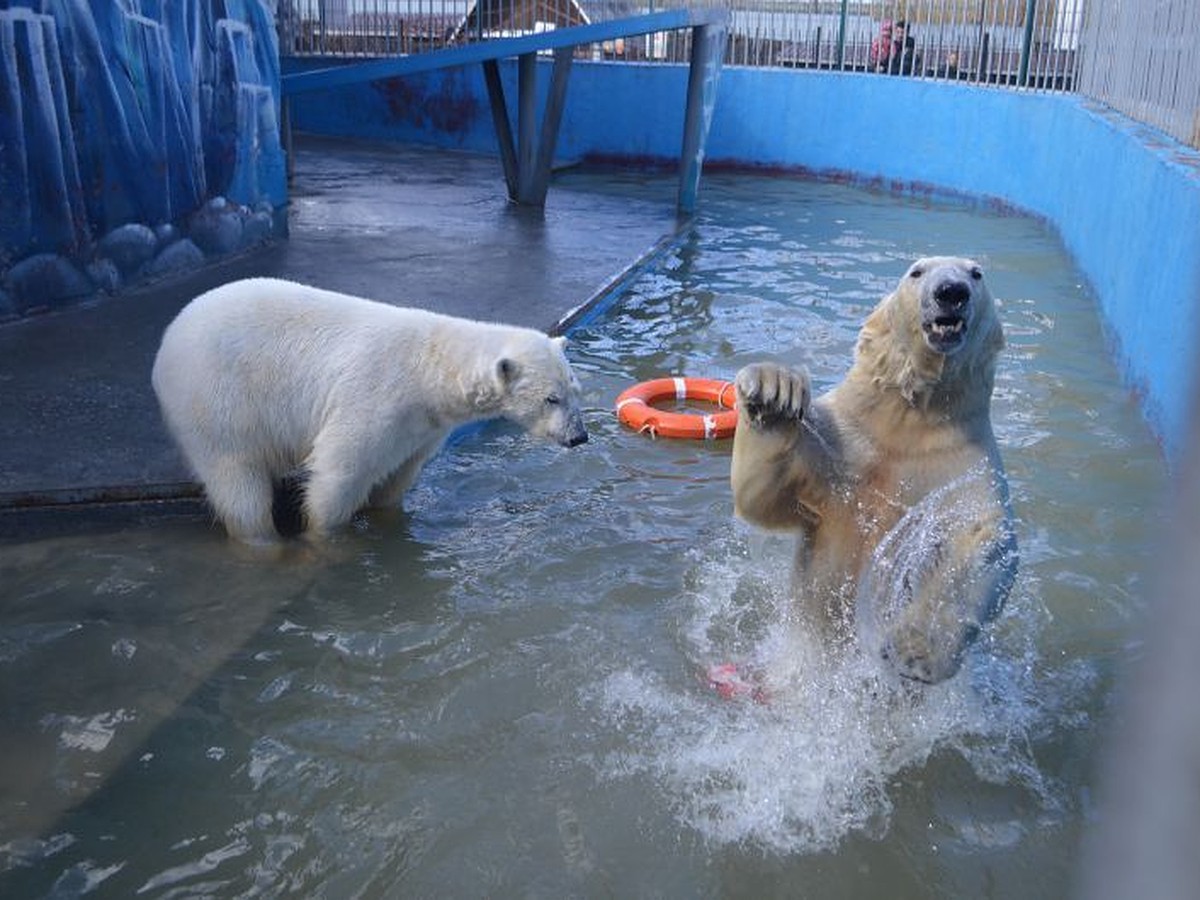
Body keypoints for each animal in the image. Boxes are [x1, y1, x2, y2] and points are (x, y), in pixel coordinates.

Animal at [152, 277, 592, 542]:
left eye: (576, 391)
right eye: (551, 398)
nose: (579, 437)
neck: (429, 370)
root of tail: (170, 337)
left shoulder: (423, 426)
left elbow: (397, 476)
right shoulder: (374, 397)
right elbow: (341, 471)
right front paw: (324, 538)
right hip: (217, 400)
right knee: (237, 479)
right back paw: (263, 539)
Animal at [724, 256, 1017, 686]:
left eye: (976, 273)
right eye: (917, 272)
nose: (951, 291)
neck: (911, 419)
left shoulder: (966, 462)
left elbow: (981, 541)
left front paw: (918, 649)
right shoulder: (844, 443)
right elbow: (766, 496)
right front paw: (772, 392)